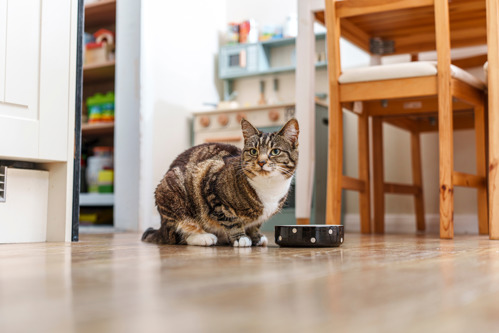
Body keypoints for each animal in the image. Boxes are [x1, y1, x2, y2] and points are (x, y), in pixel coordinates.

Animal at [141, 117, 298, 246]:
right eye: (253, 151)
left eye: (275, 151)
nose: (261, 162)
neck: (269, 188)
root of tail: (161, 226)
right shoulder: (211, 186)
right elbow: (230, 219)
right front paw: (240, 237)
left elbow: (255, 225)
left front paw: (256, 237)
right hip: (171, 194)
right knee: (177, 234)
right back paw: (204, 237)